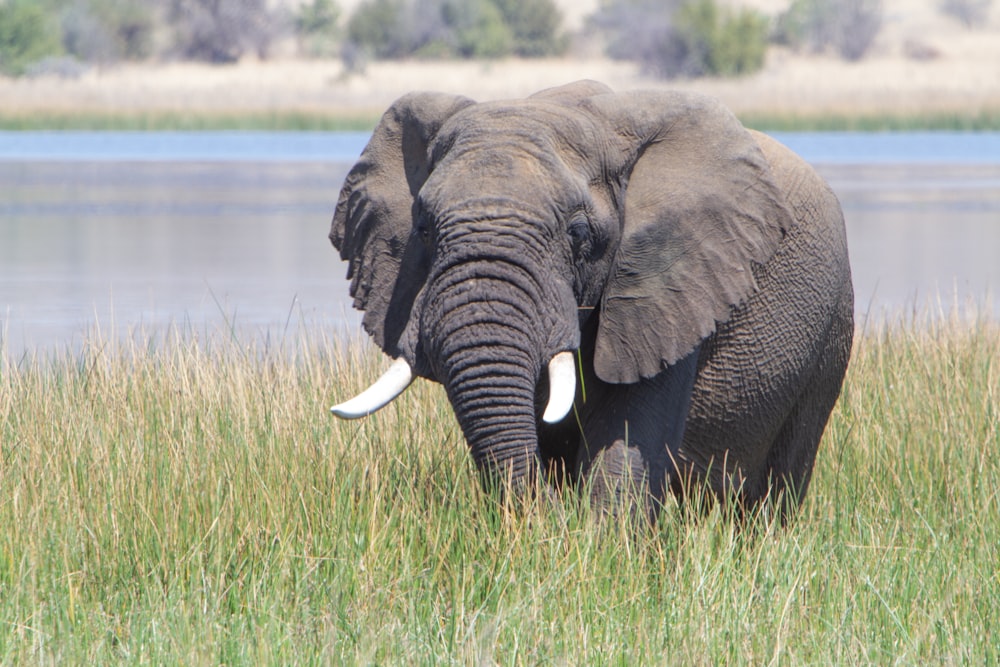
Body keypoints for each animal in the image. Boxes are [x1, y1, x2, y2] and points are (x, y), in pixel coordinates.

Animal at [328, 79, 852, 520]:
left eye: (578, 235)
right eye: (423, 229)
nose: (551, 510)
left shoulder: (671, 286)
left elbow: (626, 437)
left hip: (827, 343)